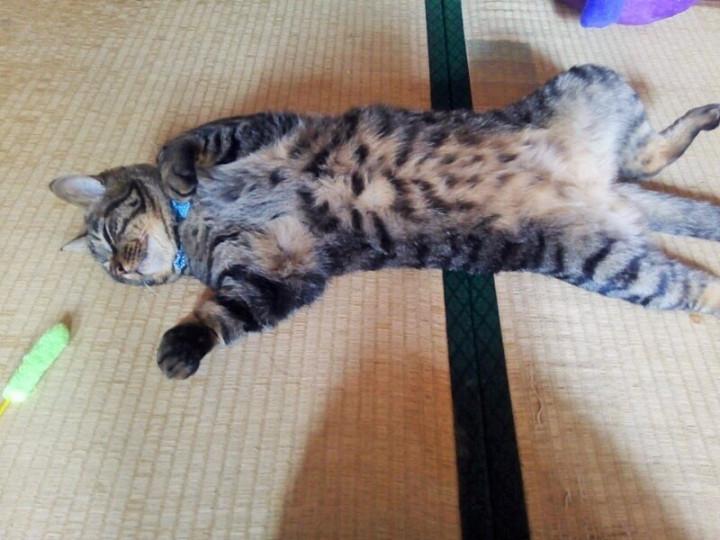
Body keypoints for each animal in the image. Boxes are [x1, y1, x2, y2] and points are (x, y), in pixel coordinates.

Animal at [50, 64, 720, 379]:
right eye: (112, 273)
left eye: (107, 238)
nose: (124, 271)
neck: (199, 226)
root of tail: (606, 190)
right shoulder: (281, 271)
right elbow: (225, 315)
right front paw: (184, 346)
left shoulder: (262, 130)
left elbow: (190, 140)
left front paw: (178, 171)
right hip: (608, 259)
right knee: (691, 274)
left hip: (593, 83)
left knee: (651, 152)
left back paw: (705, 114)